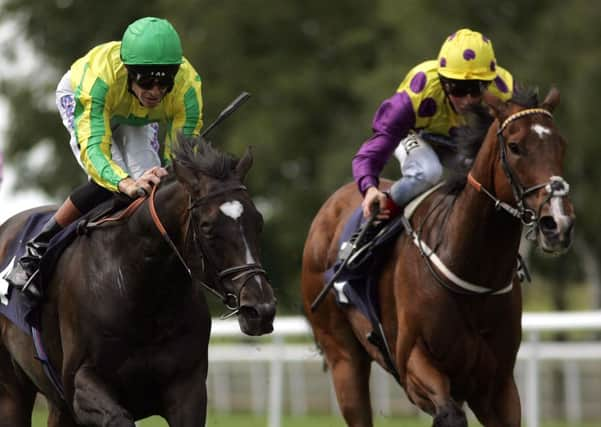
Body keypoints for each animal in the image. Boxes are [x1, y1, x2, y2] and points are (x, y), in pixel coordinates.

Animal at [0, 139, 276, 426]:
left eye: (258, 221)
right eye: (207, 227)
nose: (260, 310)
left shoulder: (189, 389)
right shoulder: (80, 384)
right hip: (11, 392)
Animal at [302, 88, 576, 427]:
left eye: (561, 144)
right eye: (515, 146)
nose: (558, 223)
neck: (471, 271)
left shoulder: (497, 386)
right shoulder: (413, 366)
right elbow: (449, 413)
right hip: (342, 355)